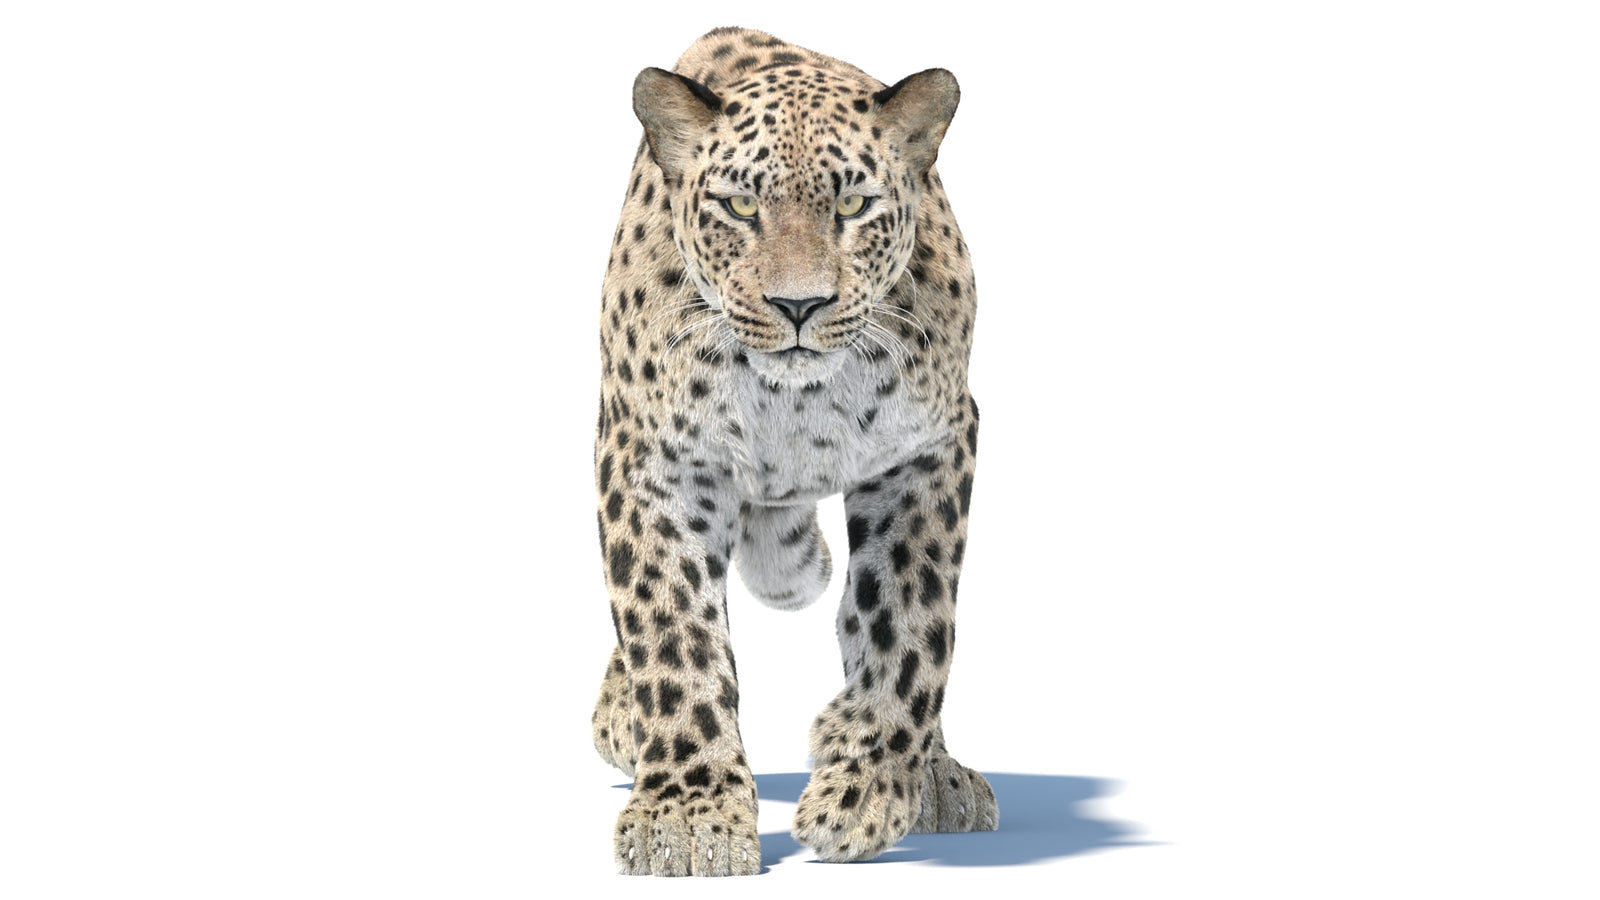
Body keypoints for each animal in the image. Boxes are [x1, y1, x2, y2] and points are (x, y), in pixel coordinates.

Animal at [589, 26, 994, 876]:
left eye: (854, 205)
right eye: (740, 206)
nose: (799, 305)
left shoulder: (930, 451)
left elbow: (911, 624)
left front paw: (864, 787)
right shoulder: (654, 462)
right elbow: (671, 632)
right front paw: (688, 819)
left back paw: (934, 775)